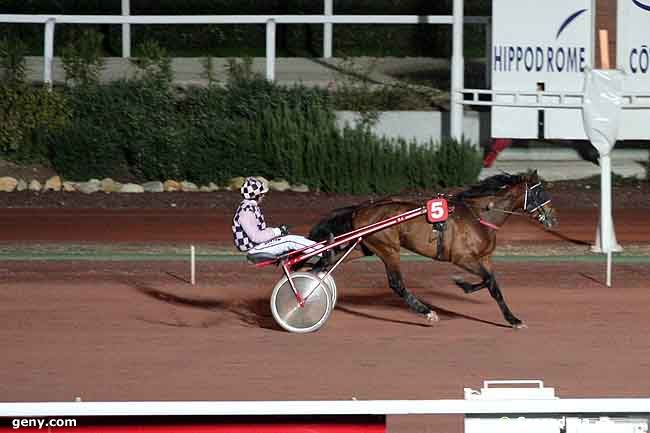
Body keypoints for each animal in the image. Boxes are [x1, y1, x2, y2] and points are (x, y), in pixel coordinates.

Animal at [308, 169, 556, 328]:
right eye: (539, 193)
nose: (553, 218)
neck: (479, 216)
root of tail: (360, 209)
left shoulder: (484, 258)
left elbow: (493, 285)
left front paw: (512, 319)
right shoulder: (462, 258)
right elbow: (488, 281)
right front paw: (463, 283)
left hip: (364, 246)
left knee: (325, 265)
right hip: (388, 248)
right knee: (397, 284)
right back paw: (427, 312)